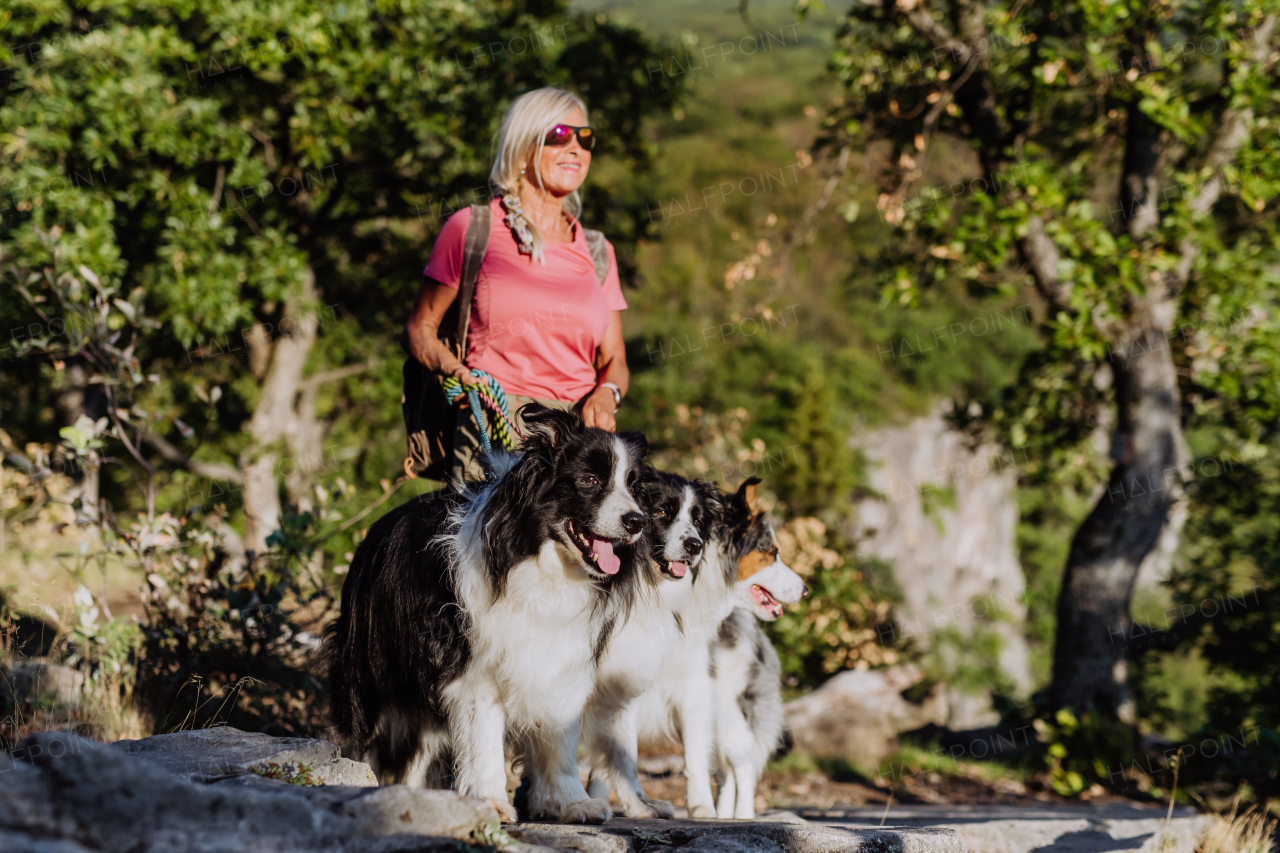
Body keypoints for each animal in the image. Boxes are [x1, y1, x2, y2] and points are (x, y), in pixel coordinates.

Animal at [325, 404, 655, 824]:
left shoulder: (560, 656)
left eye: (633, 486)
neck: (542, 563)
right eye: (590, 479)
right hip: (372, 665)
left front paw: (572, 802)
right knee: (370, 731)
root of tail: (373, 532)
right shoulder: (473, 665)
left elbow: (560, 738)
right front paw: (490, 802)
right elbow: (482, 739)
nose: (637, 521)